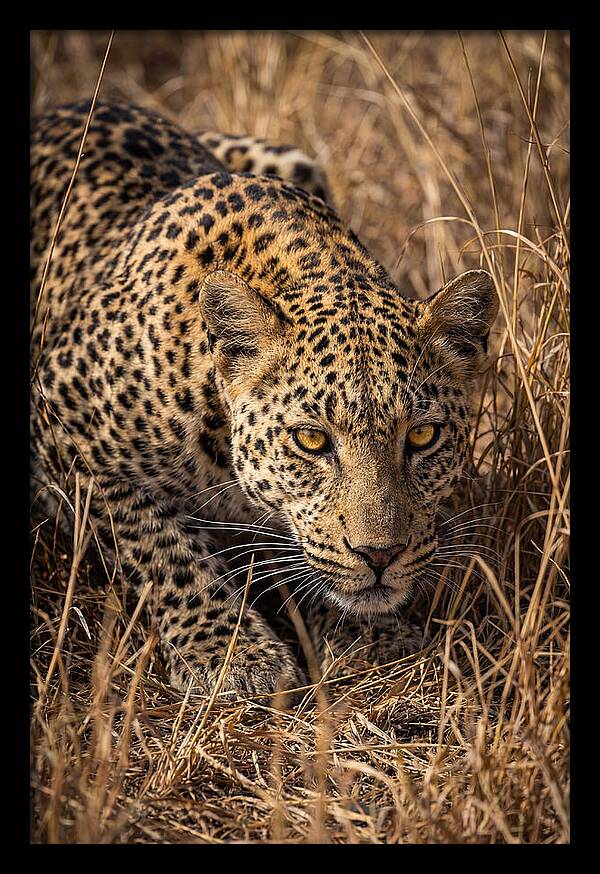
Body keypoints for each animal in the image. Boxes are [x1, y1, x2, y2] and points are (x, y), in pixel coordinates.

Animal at [30, 99, 498, 697]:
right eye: (311, 440)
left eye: (422, 435)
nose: (380, 555)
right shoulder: (60, 421)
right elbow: (159, 546)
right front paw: (232, 654)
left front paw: (370, 638)